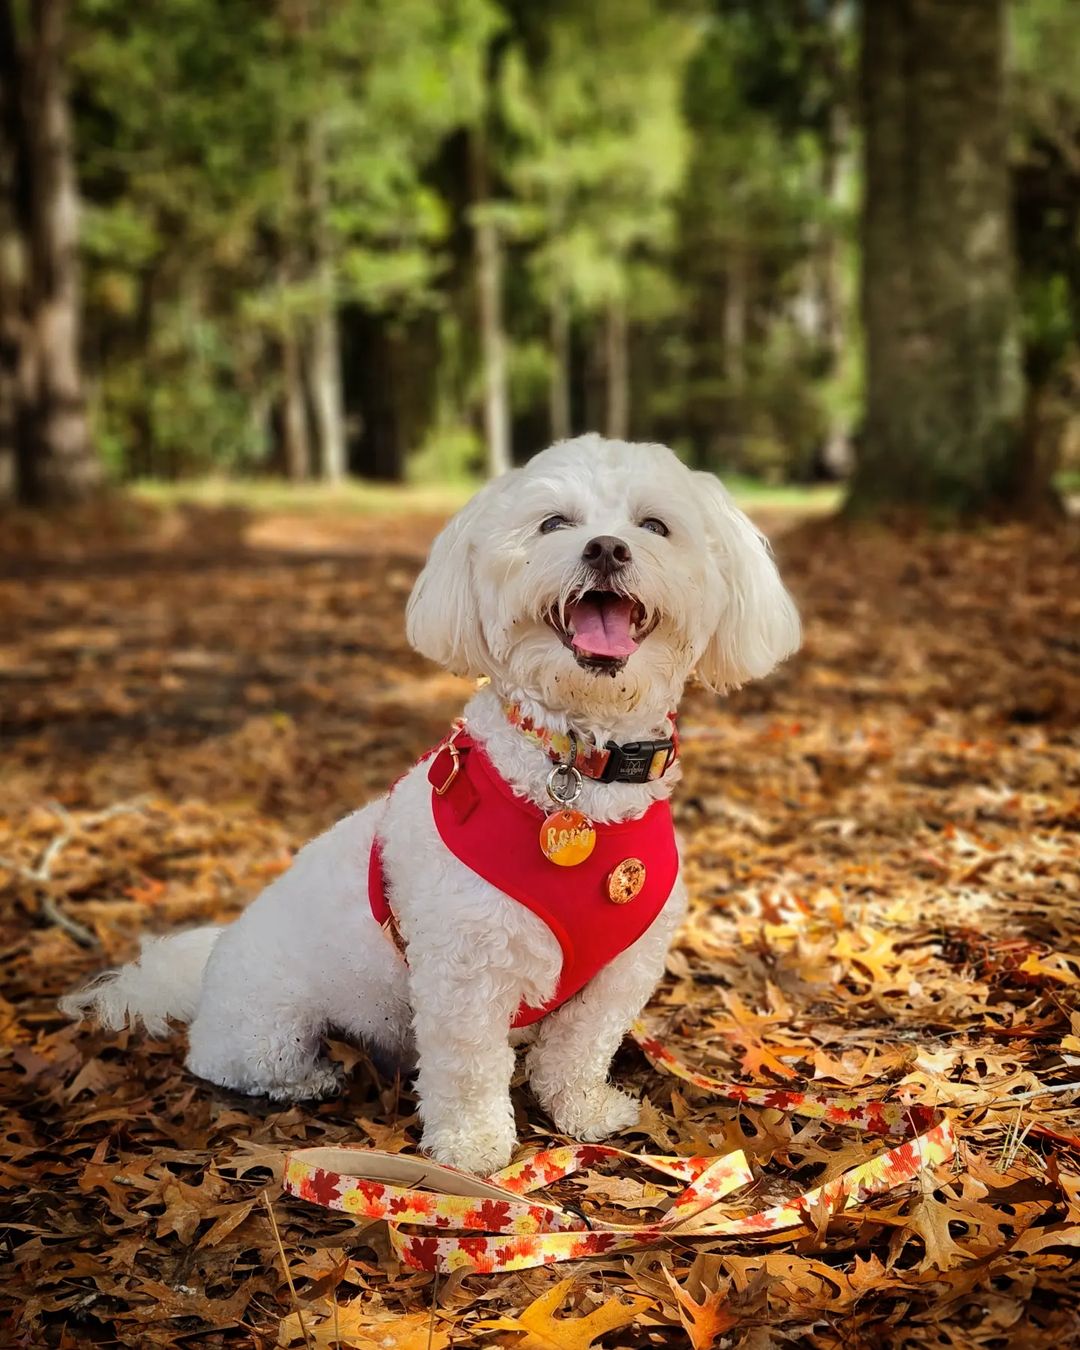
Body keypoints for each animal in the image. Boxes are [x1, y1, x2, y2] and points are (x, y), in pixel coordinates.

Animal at [61, 437, 799, 1177]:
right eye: (553, 523)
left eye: (654, 526)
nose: (607, 548)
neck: (579, 766)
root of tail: (204, 968)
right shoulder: (463, 969)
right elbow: (469, 1068)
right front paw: (472, 1148)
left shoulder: (623, 967)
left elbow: (581, 1047)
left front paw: (582, 1111)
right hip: (270, 1021)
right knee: (229, 1059)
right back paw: (307, 1078)